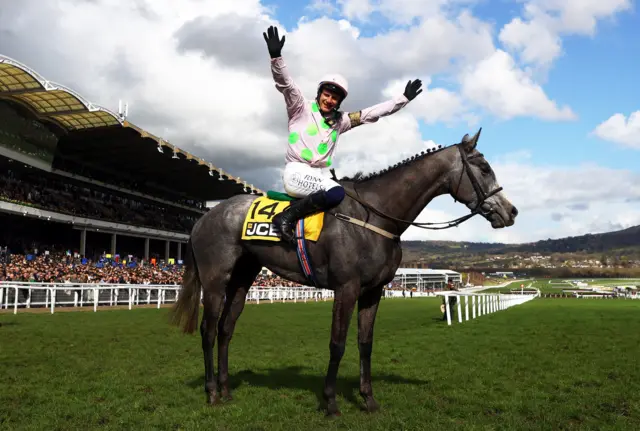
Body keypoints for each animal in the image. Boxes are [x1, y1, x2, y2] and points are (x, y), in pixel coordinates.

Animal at [169, 130, 516, 416]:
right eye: (485, 168)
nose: (510, 211)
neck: (376, 216)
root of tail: (203, 217)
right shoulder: (346, 288)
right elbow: (337, 344)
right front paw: (331, 402)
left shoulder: (373, 291)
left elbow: (366, 343)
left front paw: (368, 398)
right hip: (216, 280)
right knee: (208, 330)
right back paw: (212, 392)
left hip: (243, 278)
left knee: (226, 329)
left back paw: (226, 390)